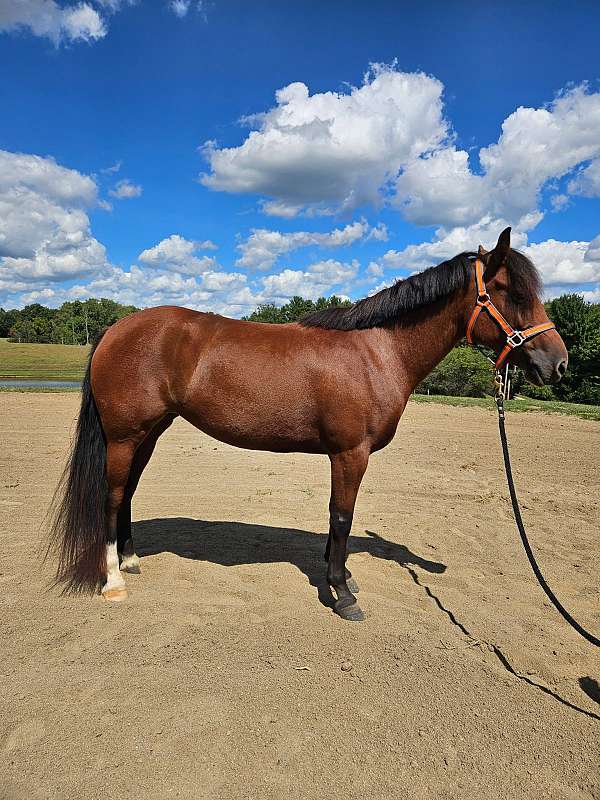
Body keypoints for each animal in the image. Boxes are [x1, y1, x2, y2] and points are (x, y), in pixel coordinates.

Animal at [49, 227, 568, 621]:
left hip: (149, 434)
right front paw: (342, 593)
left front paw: (341, 575)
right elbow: (341, 516)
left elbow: (337, 520)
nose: (558, 364)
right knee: (112, 494)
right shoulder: (350, 453)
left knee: (128, 493)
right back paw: (113, 580)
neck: (376, 351)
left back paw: (132, 559)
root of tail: (116, 328)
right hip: (124, 435)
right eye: (512, 293)